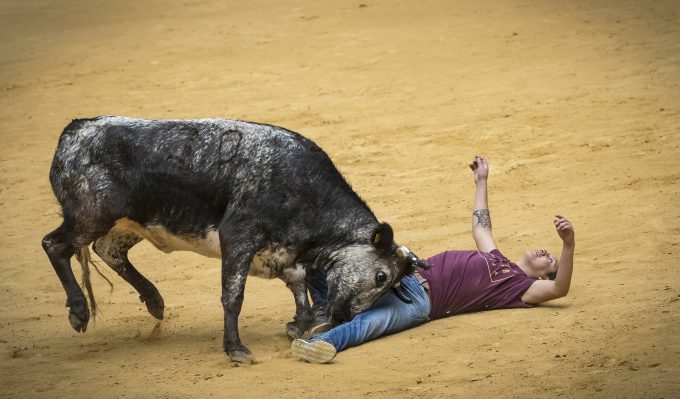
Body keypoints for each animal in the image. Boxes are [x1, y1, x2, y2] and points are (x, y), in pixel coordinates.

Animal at [42, 115, 418, 362]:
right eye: (381, 276)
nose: (343, 317)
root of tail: (74, 130)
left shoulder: (285, 256)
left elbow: (301, 295)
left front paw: (299, 326)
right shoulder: (238, 237)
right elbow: (233, 296)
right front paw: (236, 349)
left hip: (127, 222)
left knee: (108, 250)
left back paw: (154, 301)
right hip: (91, 216)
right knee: (55, 245)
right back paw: (79, 312)